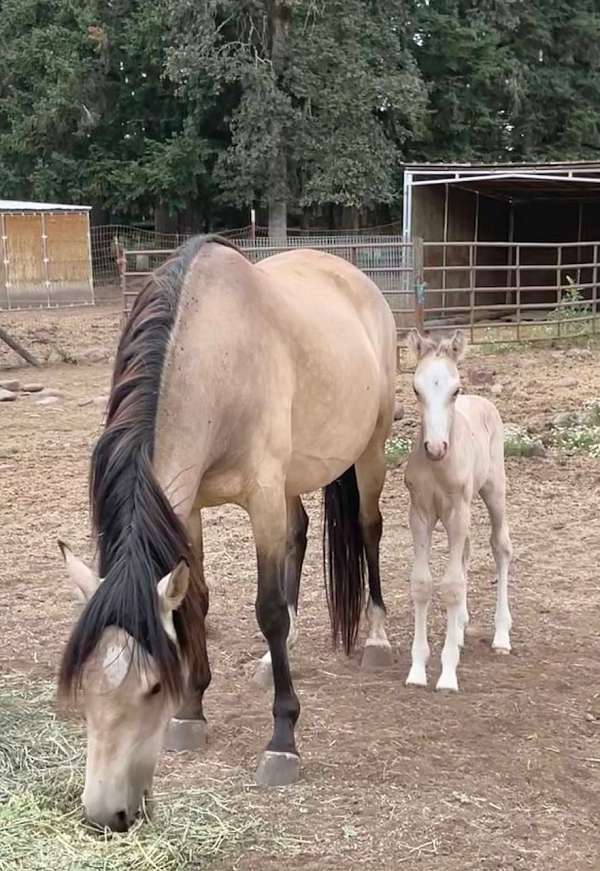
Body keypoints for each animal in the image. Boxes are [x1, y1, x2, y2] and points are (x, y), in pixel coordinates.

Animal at [404, 330, 510, 692]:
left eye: (455, 390)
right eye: (416, 389)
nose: (435, 448)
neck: (438, 467)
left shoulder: (457, 511)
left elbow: (450, 586)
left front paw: (448, 675)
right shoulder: (420, 514)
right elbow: (422, 583)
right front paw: (417, 670)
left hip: (494, 491)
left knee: (500, 547)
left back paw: (501, 636)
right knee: (466, 551)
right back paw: (461, 626)